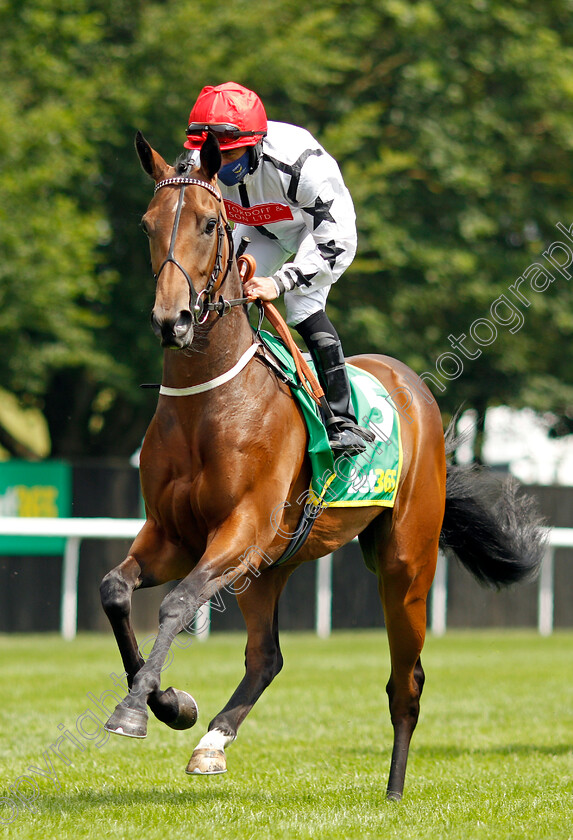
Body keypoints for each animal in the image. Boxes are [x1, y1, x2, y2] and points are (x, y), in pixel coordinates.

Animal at [100, 131, 544, 800]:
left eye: (209, 223)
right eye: (147, 223)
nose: (171, 320)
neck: (210, 402)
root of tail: (412, 386)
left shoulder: (240, 531)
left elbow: (176, 604)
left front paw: (137, 710)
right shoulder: (173, 537)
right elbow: (115, 591)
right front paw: (170, 704)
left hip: (404, 563)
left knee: (406, 680)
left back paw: (393, 791)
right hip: (269, 568)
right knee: (266, 658)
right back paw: (213, 743)